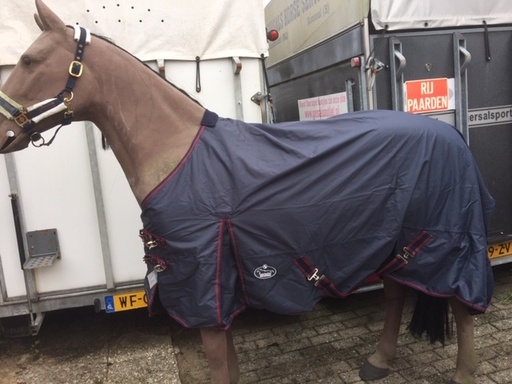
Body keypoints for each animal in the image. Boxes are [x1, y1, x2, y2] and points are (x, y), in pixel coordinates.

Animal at [1, 1, 492, 382]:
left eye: (30, 60)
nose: (2, 131)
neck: (180, 156)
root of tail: (449, 135)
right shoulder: (217, 287)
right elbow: (230, 365)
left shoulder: (204, 284)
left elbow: (220, 364)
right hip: (395, 240)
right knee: (395, 292)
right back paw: (379, 361)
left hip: (449, 241)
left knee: (461, 305)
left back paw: (463, 373)